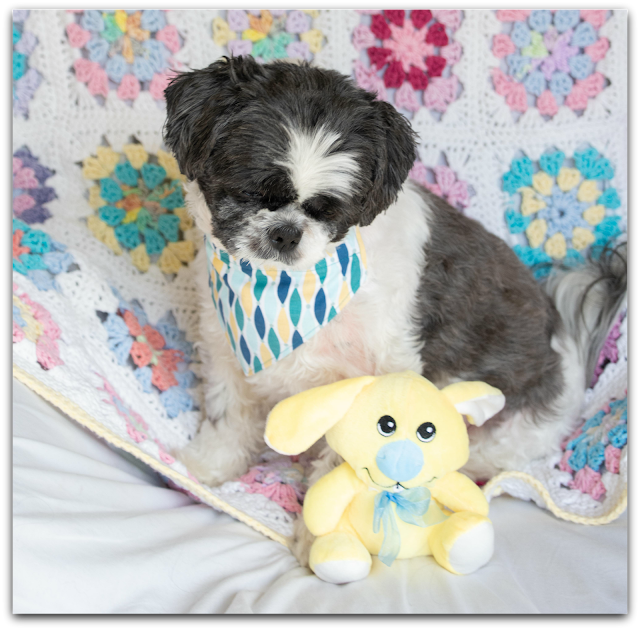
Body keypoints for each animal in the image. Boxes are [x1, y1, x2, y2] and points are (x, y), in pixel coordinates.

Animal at [163, 56, 626, 565]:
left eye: (331, 211)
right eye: (250, 193)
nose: (286, 231)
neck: (286, 292)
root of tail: (567, 346)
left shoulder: (372, 378)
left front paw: (324, 539)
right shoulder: (226, 350)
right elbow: (228, 416)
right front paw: (206, 467)